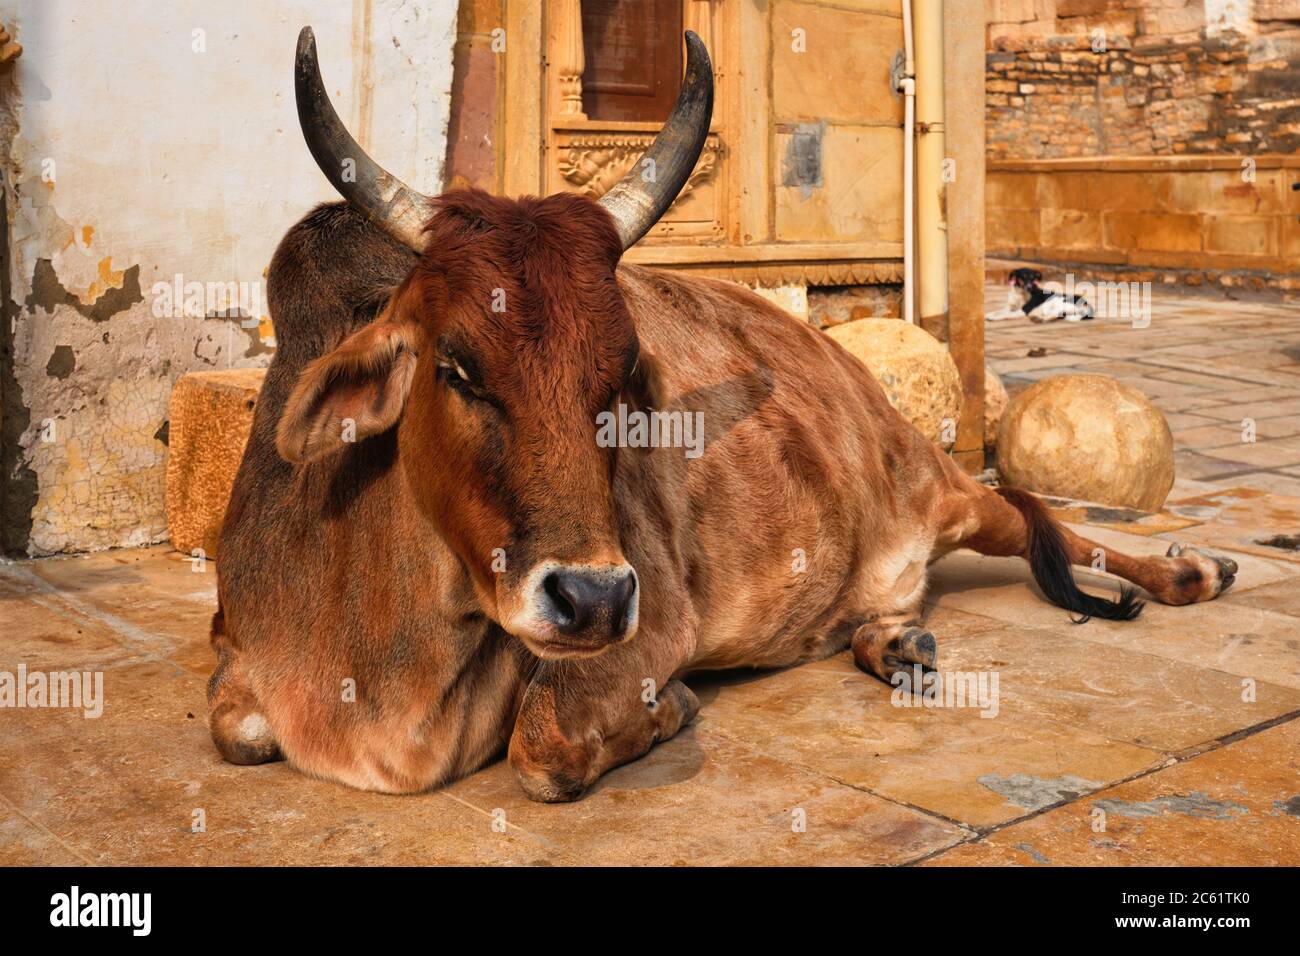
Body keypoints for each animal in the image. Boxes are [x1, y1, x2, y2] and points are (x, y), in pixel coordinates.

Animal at [208, 27, 1232, 801]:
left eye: (622, 377)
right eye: (456, 366)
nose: (593, 599)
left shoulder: (650, 630)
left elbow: (544, 750)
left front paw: (673, 709)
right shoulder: (238, 662)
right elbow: (237, 728)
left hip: (944, 489)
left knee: (1041, 520)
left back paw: (1190, 572)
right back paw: (895, 641)